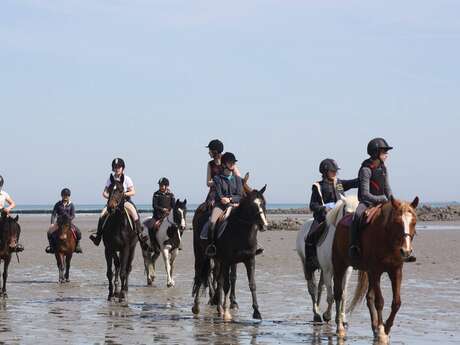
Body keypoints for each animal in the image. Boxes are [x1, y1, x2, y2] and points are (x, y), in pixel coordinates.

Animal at [191, 185, 270, 320]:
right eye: (252, 205)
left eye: (263, 203)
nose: (264, 225)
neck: (241, 231)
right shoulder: (228, 261)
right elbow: (226, 285)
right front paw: (227, 312)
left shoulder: (249, 259)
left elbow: (251, 284)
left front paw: (256, 312)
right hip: (200, 254)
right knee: (200, 276)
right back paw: (197, 307)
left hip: (217, 259)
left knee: (216, 279)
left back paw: (218, 306)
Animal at [332, 196, 418, 342]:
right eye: (397, 222)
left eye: (414, 222)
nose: (406, 251)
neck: (387, 239)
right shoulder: (376, 271)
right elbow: (380, 301)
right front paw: (382, 332)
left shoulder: (396, 271)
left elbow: (396, 302)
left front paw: (386, 328)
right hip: (340, 266)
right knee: (338, 294)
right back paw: (340, 328)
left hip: (369, 273)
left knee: (369, 297)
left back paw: (374, 328)